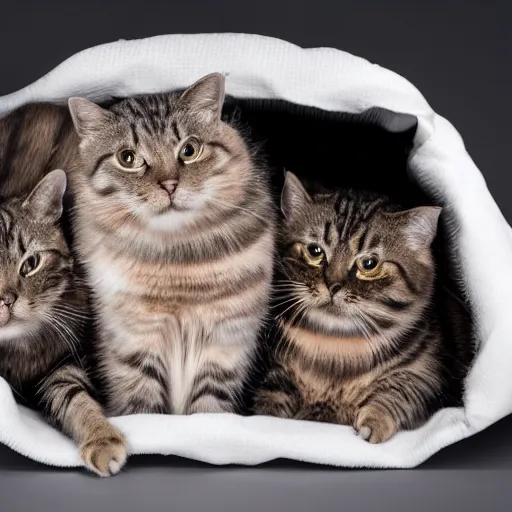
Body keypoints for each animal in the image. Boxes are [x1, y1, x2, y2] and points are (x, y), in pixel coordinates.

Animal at [67, 72, 276, 416]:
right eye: (128, 158)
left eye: (189, 150)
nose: (169, 185)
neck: (177, 259)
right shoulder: (135, 342)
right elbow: (143, 404)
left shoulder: (225, 343)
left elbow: (208, 408)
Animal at [253, 172, 452, 444]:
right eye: (315, 251)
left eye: (369, 264)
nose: (332, 285)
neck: (336, 346)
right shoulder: (272, 370)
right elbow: (270, 400)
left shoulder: (426, 374)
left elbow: (397, 393)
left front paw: (374, 421)